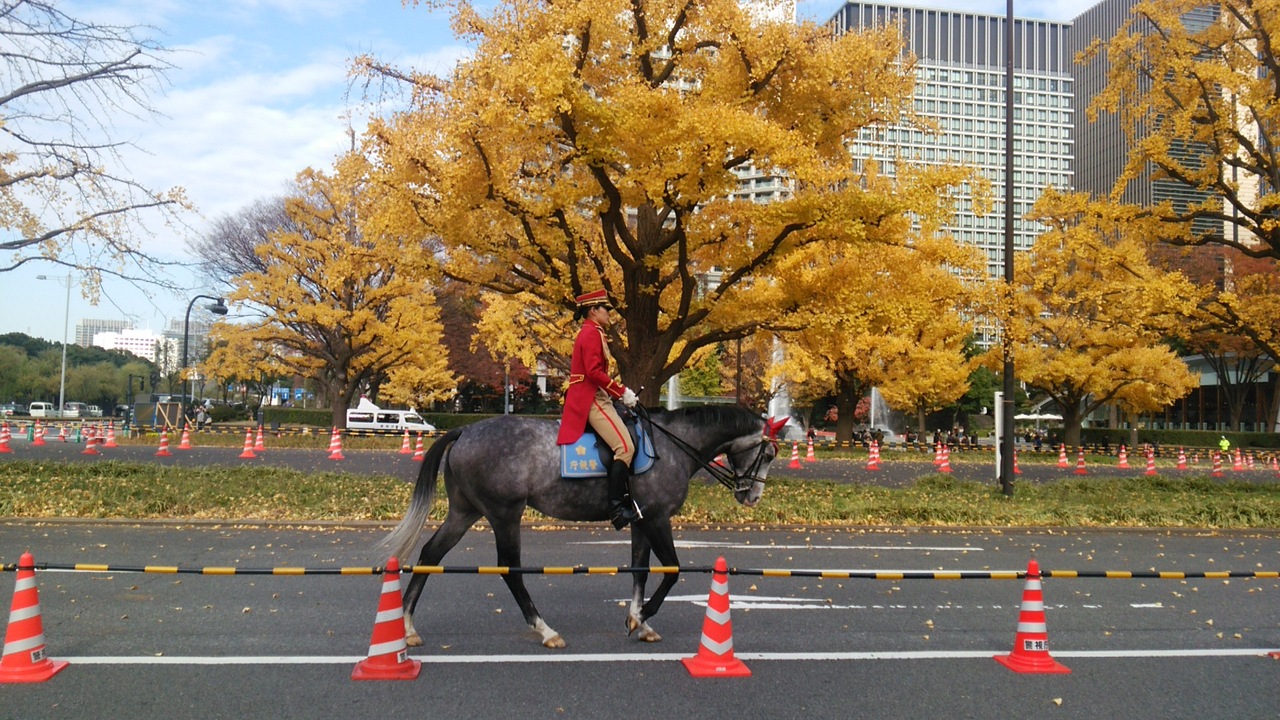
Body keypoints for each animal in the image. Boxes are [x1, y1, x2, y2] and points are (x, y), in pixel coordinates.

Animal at [378, 405, 783, 649]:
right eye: (768, 453)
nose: (753, 496)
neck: (670, 446)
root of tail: (463, 432)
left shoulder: (642, 521)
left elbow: (640, 570)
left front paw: (638, 620)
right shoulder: (657, 518)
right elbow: (670, 570)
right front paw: (642, 617)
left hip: (465, 512)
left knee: (431, 554)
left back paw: (409, 626)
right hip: (504, 514)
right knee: (509, 568)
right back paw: (545, 629)